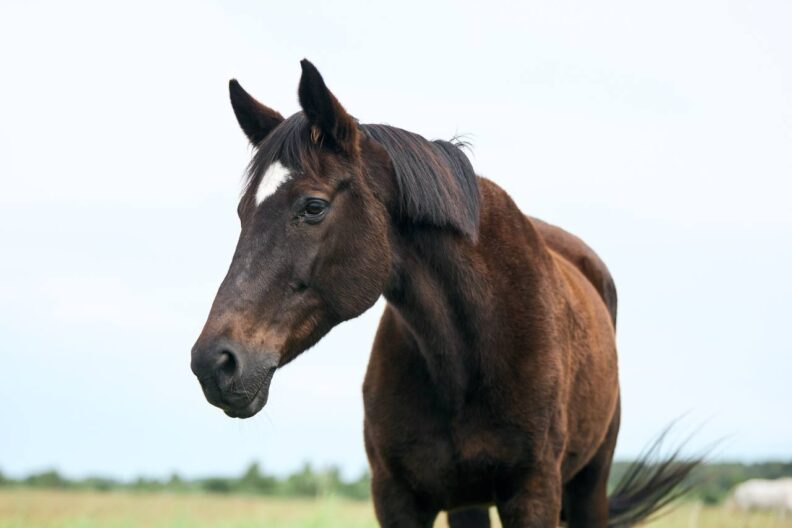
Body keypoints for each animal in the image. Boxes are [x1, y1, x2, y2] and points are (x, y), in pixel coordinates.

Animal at [191, 59, 696, 527]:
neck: (470, 354)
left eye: (313, 206)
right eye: (242, 212)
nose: (213, 363)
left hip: (590, 482)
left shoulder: (535, 493)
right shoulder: (397, 499)